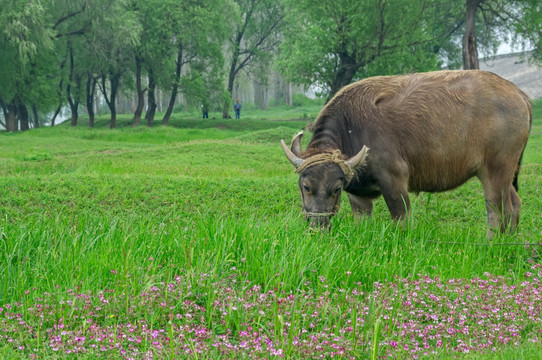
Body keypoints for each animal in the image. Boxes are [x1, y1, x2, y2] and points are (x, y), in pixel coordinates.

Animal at [282, 71, 532, 239]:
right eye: (306, 187)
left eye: (335, 189)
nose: (318, 227)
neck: (351, 127)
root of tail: (519, 94)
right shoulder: (358, 194)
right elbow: (362, 220)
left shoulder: (394, 179)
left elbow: (401, 217)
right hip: (507, 173)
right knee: (515, 202)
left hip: (495, 170)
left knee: (498, 209)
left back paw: (492, 242)